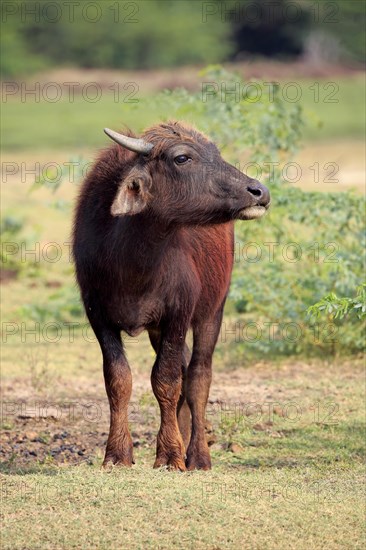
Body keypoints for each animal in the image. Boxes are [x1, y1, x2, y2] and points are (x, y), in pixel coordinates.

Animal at [73, 123, 270, 472]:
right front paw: (117, 453)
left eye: (216, 153)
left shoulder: (178, 314)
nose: (259, 191)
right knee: (184, 368)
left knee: (198, 376)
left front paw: (169, 454)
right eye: (182, 158)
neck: (133, 262)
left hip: (212, 312)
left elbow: (166, 380)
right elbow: (118, 380)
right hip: (157, 329)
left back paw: (198, 454)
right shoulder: (98, 316)